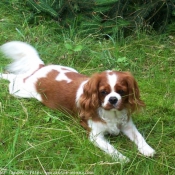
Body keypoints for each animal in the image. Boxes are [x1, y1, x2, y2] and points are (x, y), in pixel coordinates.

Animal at [0, 41, 156, 163]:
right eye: (103, 92)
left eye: (121, 91)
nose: (113, 99)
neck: (111, 114)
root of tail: (41, 68)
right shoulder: (95, 136)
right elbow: (111, 148)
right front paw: (122, 158)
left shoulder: (127, 125)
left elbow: (139, 136)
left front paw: (147, 149)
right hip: (21, 91)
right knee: (14, 79)